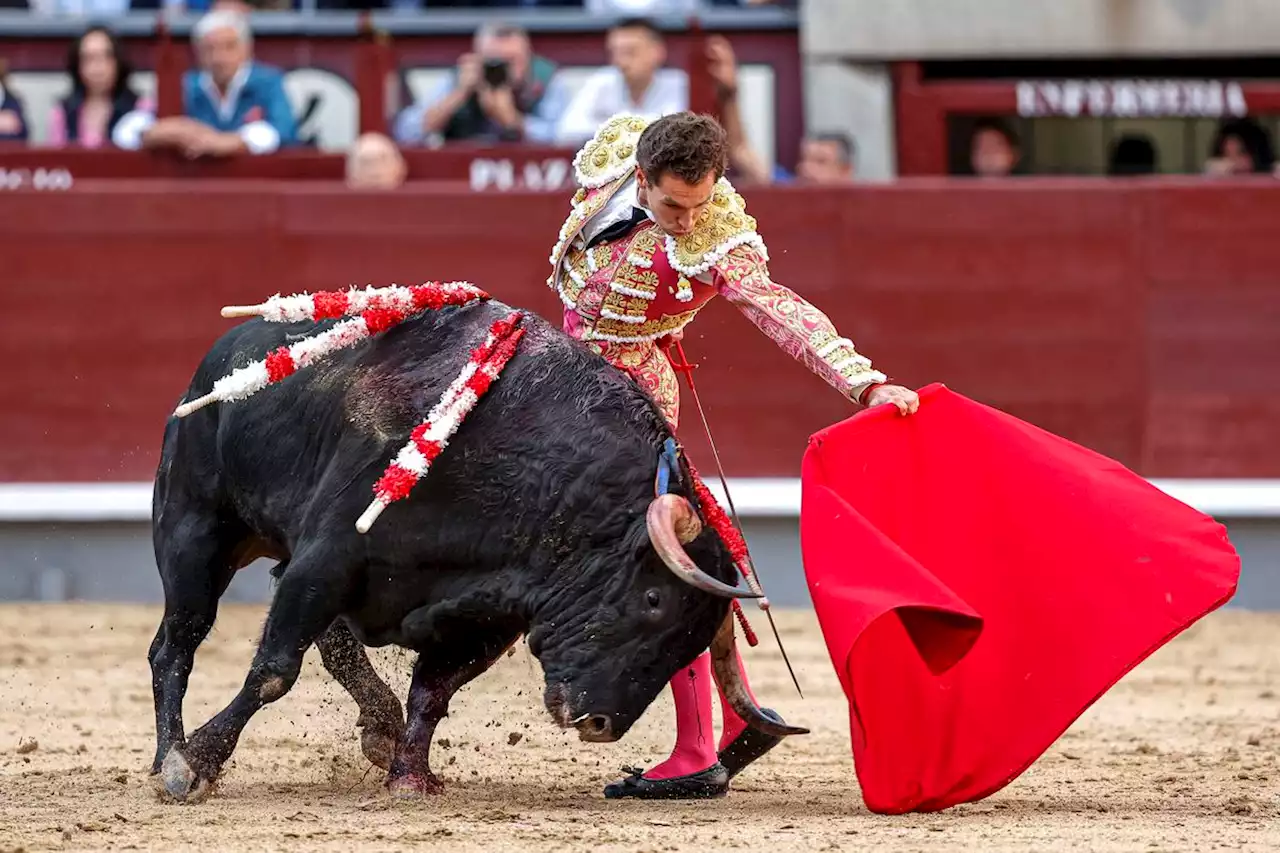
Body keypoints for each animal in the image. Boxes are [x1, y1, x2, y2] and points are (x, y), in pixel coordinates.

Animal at [149, 297, 803, 799]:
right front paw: (198, 764)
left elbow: (432, 692)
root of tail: (226, 348)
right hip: (195, 532)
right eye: (653, 601)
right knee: (175, 646)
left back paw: (379, 726)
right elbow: (273, 672)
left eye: (689, 643)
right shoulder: (326, 560)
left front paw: (410, 777)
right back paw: (167, 760)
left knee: (329, 645)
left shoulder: (489, 617)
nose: (600, 722)